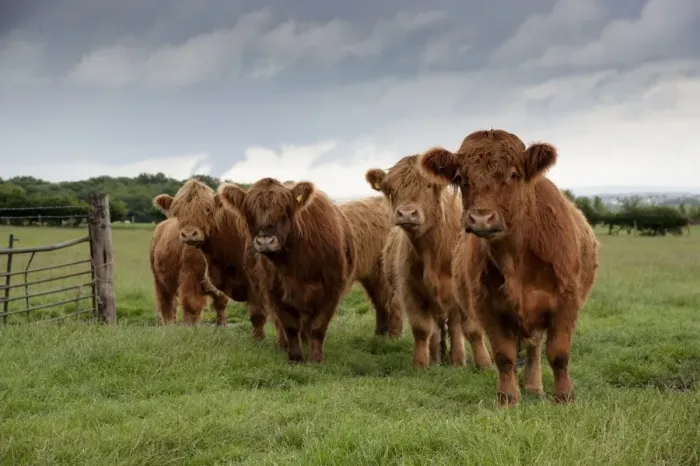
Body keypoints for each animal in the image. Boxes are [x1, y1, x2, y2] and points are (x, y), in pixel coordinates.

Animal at [153, 179, 285, 346]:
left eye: (207, 209)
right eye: (177, 212)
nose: (189, 234)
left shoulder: (255, 282)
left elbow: (257, 312)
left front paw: (258, 340)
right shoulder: (190, 276)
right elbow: (191, 305)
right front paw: (189, 331)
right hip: (159, 281)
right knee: (167, 305)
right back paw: (169, 327)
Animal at [217, 177, 356, 363]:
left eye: (284, 212)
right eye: (250, 213)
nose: (265, 241)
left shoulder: (332, 289)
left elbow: (318, 326)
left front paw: (316, 359)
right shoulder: (275, 291)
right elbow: (289, 326)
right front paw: (295, 357)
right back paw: (283, 345)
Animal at [365, 155, 493, 369]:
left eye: (428, 185)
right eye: (390, 188)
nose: (407, 213)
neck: (435, 251)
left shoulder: (469, 292)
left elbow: (472, 329)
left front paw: (484, 363)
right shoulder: (410, 291)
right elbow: (422, 329)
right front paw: (420, 363)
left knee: (455, 327)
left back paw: (457, 360)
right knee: (436, 329)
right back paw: (436, 358)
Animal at [418, 129, 600, 407]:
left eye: (513, 174)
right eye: (461, 177)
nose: (481, 218)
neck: (516, 259)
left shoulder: (566, 303)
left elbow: (558, 353)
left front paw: (564, 397)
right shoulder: (488, 307)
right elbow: (504, 355)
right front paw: (507, 398)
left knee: (535, 347)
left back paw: (534, 387)